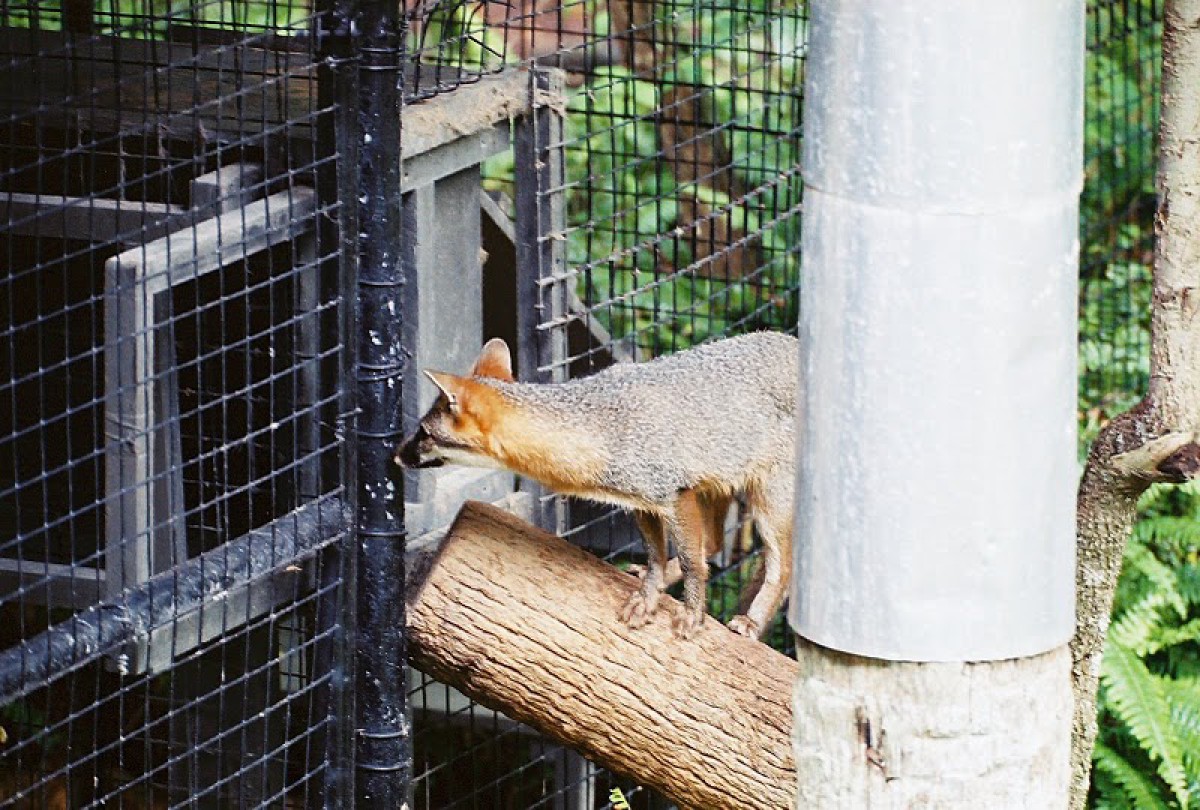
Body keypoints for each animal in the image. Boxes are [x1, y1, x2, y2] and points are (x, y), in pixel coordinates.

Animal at [395, 331, 798, 640]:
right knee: (713, 544)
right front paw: (648, 597)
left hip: (767, 506)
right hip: (714, 485)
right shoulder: (644, 502)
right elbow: (656, 557)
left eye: (423, 433)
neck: (600, 425)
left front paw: (692, 614)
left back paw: (751, 621)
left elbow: (692, 563)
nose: (396, 456)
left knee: (781, 568)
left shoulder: (673, 494)